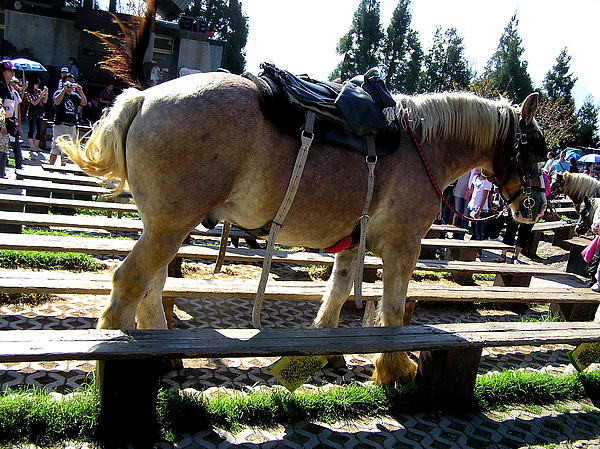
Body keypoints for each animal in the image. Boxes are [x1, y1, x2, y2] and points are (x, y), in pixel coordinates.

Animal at [58, 76, 548, 382]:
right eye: (536, 148)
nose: (536, 205)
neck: (423, 146)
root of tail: (142, 99)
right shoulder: (403, 246)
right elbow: (392, 310)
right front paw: (395, 368)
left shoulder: (353, 243)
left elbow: (337, 293)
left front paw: (327, 350)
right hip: (170, 226)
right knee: (130, 283)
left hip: (162, 227)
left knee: (151, 286)